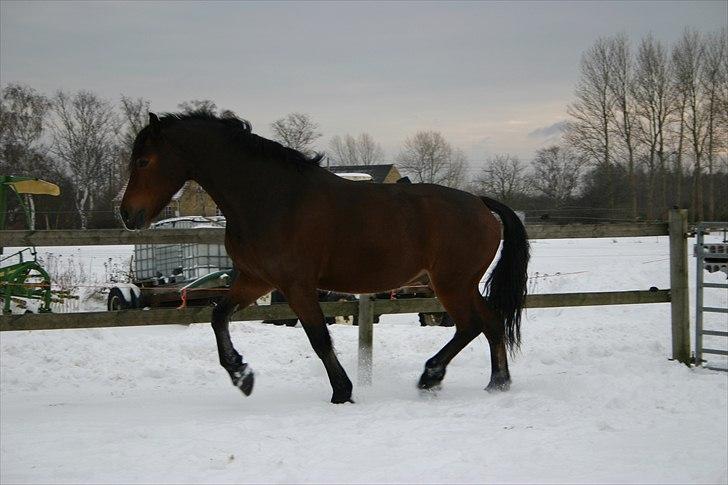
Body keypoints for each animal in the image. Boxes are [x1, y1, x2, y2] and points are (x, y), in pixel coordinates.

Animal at [121, 111, 528, 402]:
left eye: (143, 161)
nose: (127, 215)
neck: (271, 198)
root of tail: (481, 204)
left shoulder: (296, 285)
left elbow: (319, 337)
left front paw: (342, 392)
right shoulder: (256, 280)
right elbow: (218, 316)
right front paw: (241, 374)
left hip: (451, 284)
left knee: (471, 326)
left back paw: (431, 377)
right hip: (462, 284)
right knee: (491, 323)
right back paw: (497, 384)